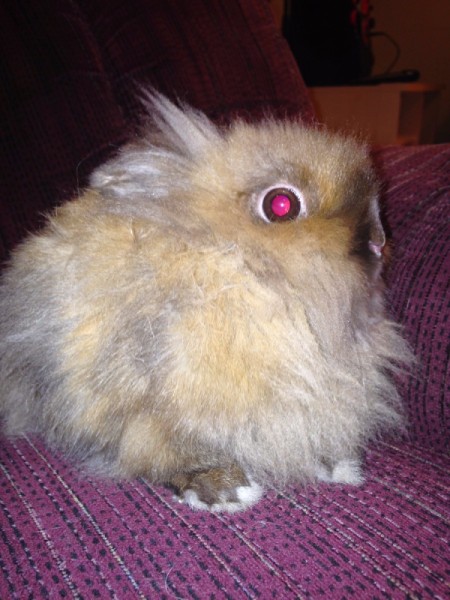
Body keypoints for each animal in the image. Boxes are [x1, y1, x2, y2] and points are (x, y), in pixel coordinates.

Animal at [0, 92, 408, 510]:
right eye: (281, 206)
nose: (379, 239)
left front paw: (339, 464)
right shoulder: (154, 412)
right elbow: (170, 451)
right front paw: (225, 489)